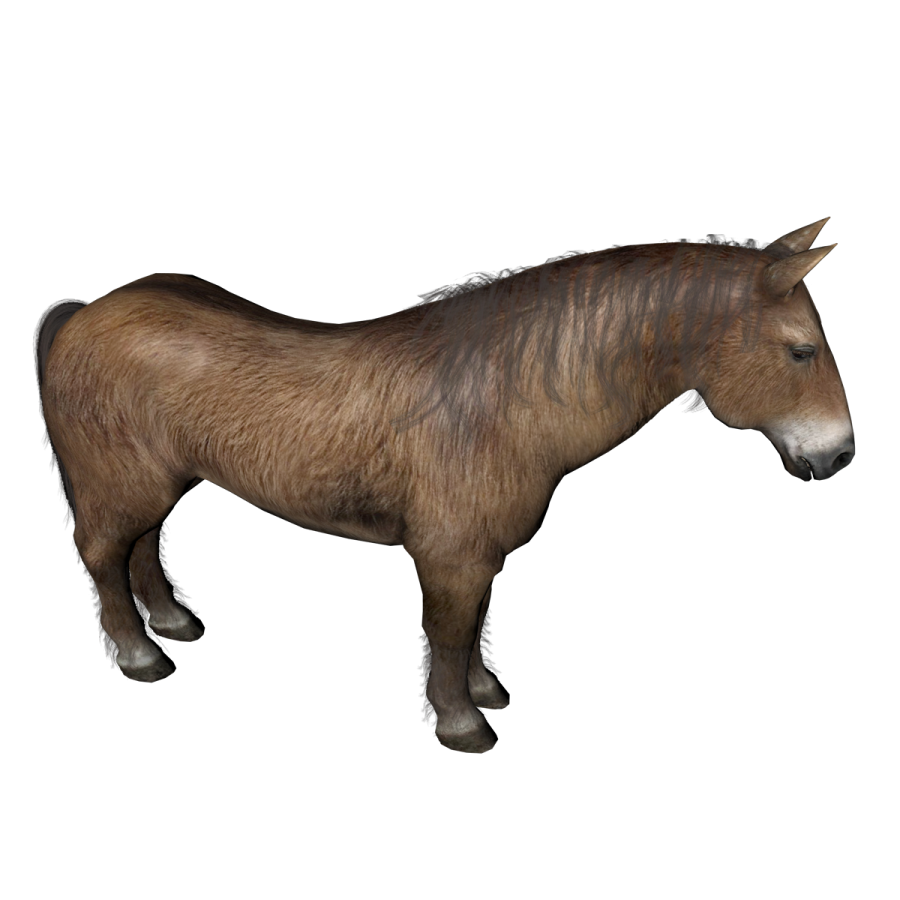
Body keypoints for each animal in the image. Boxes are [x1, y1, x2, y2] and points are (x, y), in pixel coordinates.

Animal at [34, 217, 853, 753]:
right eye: (801, 351)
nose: (839, 456)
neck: (499, 400)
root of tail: (88, 313)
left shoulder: (481, 555)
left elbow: (480, 625)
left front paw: (485, 694)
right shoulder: (451, 556)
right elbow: (451, 632)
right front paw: (462, 724)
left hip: (161, 485)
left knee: (144, 550)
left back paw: (173, 623)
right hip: (123, 487)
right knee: (104, 556)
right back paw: (140, 656)